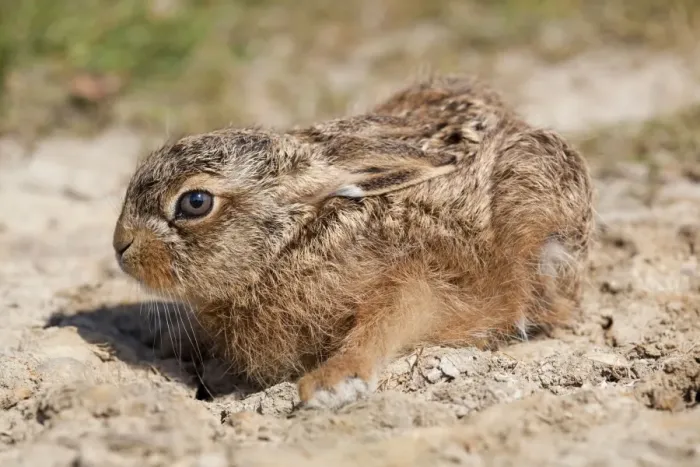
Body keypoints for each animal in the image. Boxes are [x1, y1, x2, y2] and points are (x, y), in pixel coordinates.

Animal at [113, 75, 594, 409]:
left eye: (195, 202)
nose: (120, 246)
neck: (293, 241)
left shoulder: (422, 277)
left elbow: (389, 319)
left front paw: (332, 383)